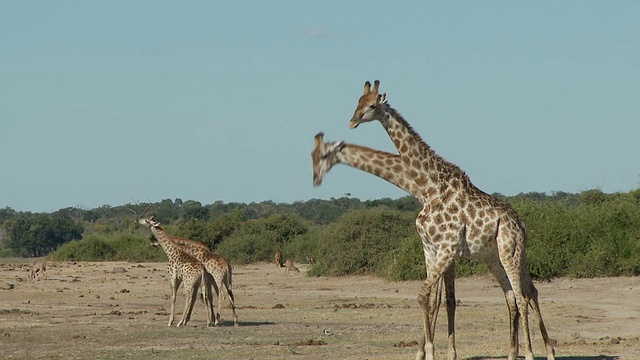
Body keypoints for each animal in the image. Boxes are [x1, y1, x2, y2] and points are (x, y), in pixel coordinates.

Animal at [348, 81, 552, 360]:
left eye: (370, 106)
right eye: (357, 102)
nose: (352, 121)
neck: (430, 186)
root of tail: (521, 224)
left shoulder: (447, 248)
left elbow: (426, 296)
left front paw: (430, 352)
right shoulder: (430, 248)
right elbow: (433, 299)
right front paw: (429, 351)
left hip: (510, 251)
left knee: (522, 296)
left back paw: (533, 353)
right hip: (494, 257)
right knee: (514, 296)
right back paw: (517, 353)